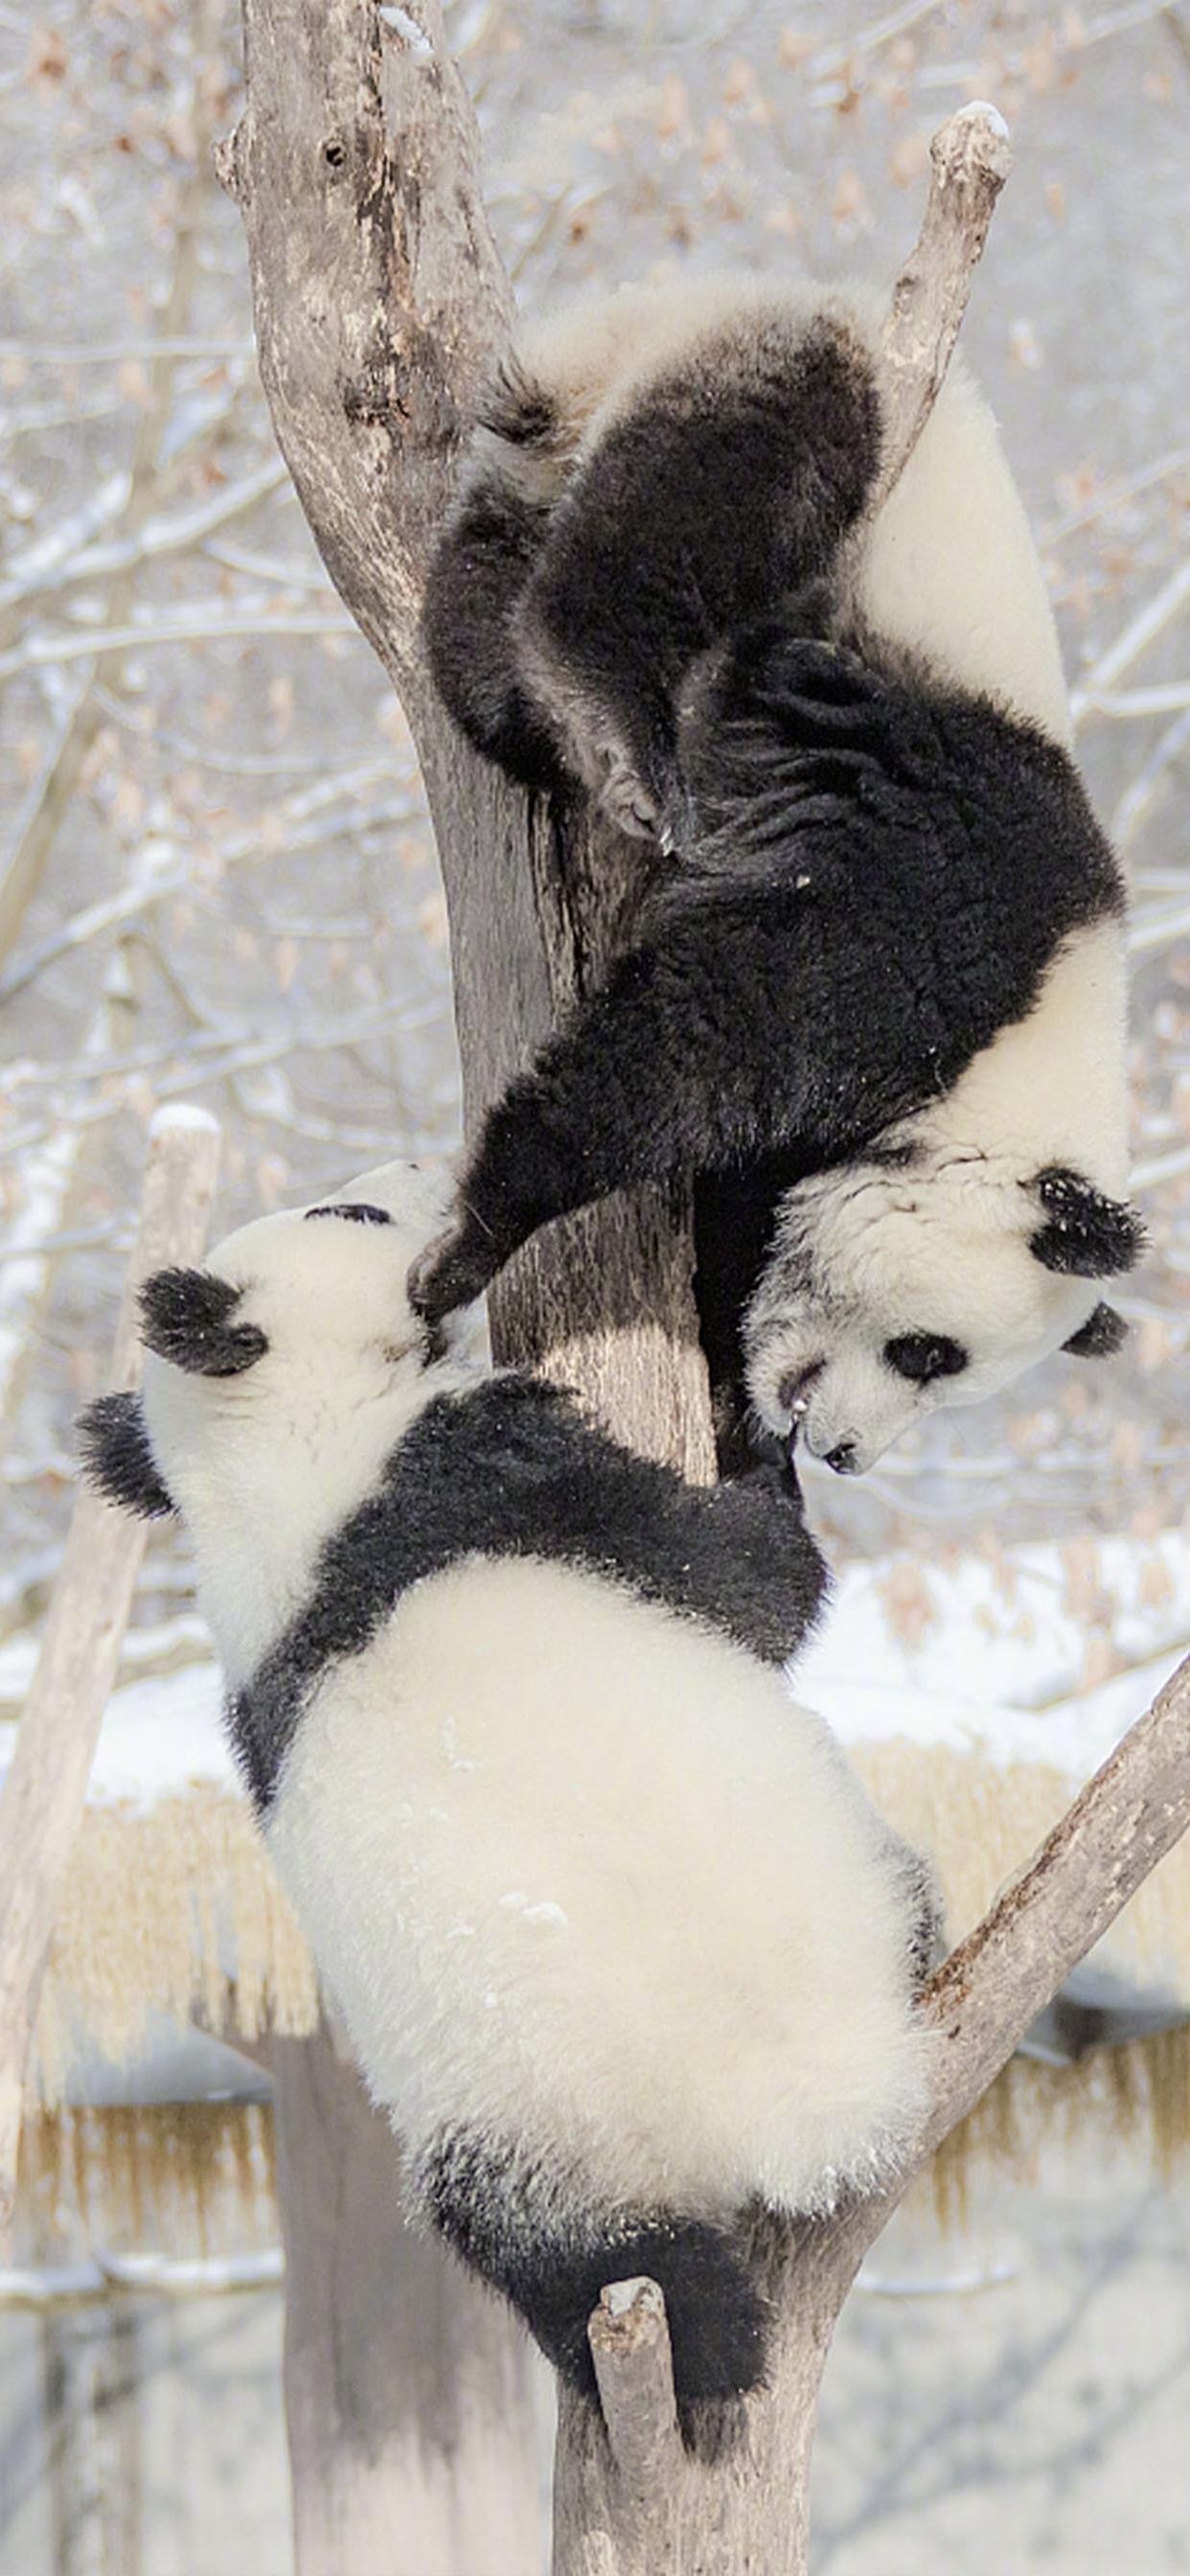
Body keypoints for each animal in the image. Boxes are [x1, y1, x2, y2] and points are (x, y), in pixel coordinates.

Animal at [81, 1163, 937, 2431]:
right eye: (346, 1216)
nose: (410, 1176)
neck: (265, 1467)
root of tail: (791, 2115)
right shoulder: (481, 1477)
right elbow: (746, 1579)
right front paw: (752, 1432)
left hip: (518, 2153)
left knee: (566, 2257)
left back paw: (684, 2349)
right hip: (791, 1929)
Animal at [414, 276, 1138, 1473]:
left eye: (946, 1382)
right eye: (929, 1354)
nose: (847, 1455)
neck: (1027, 1041)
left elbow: (742, 1212)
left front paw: (737, 1416)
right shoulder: (937, 917)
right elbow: (706, 1033)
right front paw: (474, 1238)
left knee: (487, 585)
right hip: (761, 389)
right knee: (712, 502)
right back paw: (608, 715)